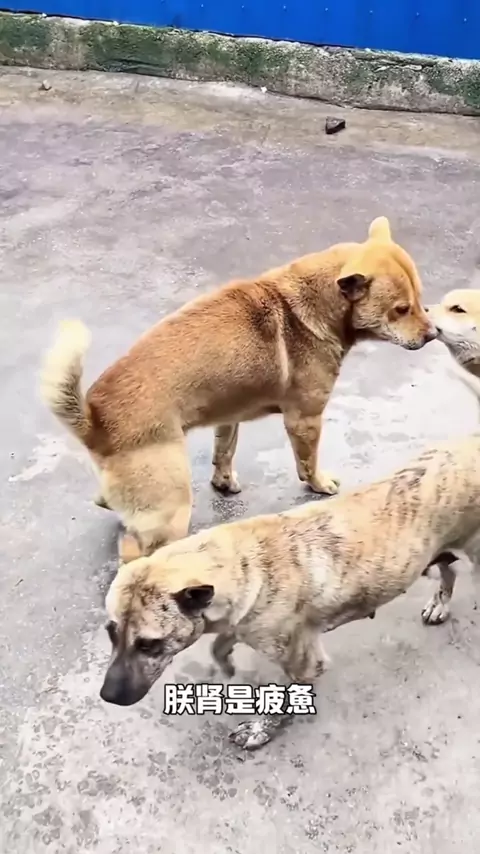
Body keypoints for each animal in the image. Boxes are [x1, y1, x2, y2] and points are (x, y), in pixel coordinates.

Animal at [41, 216, 435, 555]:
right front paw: (319, 484)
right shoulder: (304, 420)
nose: (433, 335)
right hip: (171, 511)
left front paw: (224, 481)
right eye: (401, 309)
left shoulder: (227, 415)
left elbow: (224, 452)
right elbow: (307, 463)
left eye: (420, 300)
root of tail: (94, 419)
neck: (315, 303)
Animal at [100, 412, 480, 750]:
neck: (245, 562)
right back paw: (439, 604)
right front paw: (225, 659)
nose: (108, 696)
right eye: (111, 632)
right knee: (447, 570)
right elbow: (220, 643)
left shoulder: (301, 660)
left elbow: (280, 700)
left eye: (150, 645)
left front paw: (260, 730)